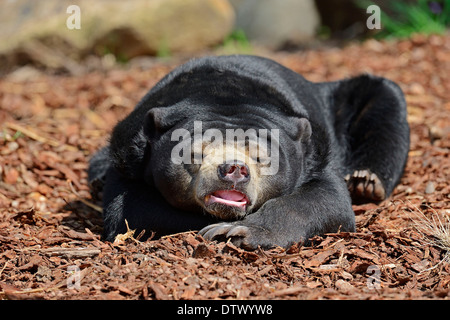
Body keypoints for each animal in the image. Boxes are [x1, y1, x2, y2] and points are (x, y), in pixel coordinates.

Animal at [89, 55, 412, 250]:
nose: (233, 169)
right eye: (194, 155)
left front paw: (236, 231)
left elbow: (326, 200)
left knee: (385, 96)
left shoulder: (317, 155)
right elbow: (130, 211)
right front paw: (221, 228)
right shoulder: (128, 156)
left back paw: (366, 182)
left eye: (262, 158)